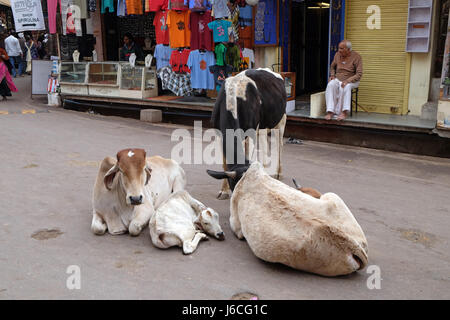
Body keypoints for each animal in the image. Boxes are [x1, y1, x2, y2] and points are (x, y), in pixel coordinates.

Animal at [206, 67, 286, 199]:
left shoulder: (251, 133)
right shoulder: (219, 134)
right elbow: (224, 164)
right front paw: (224, 190)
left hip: (280, 120)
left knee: (279, 145)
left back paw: (278, 172)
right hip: (263, 126)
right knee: (264, 144)